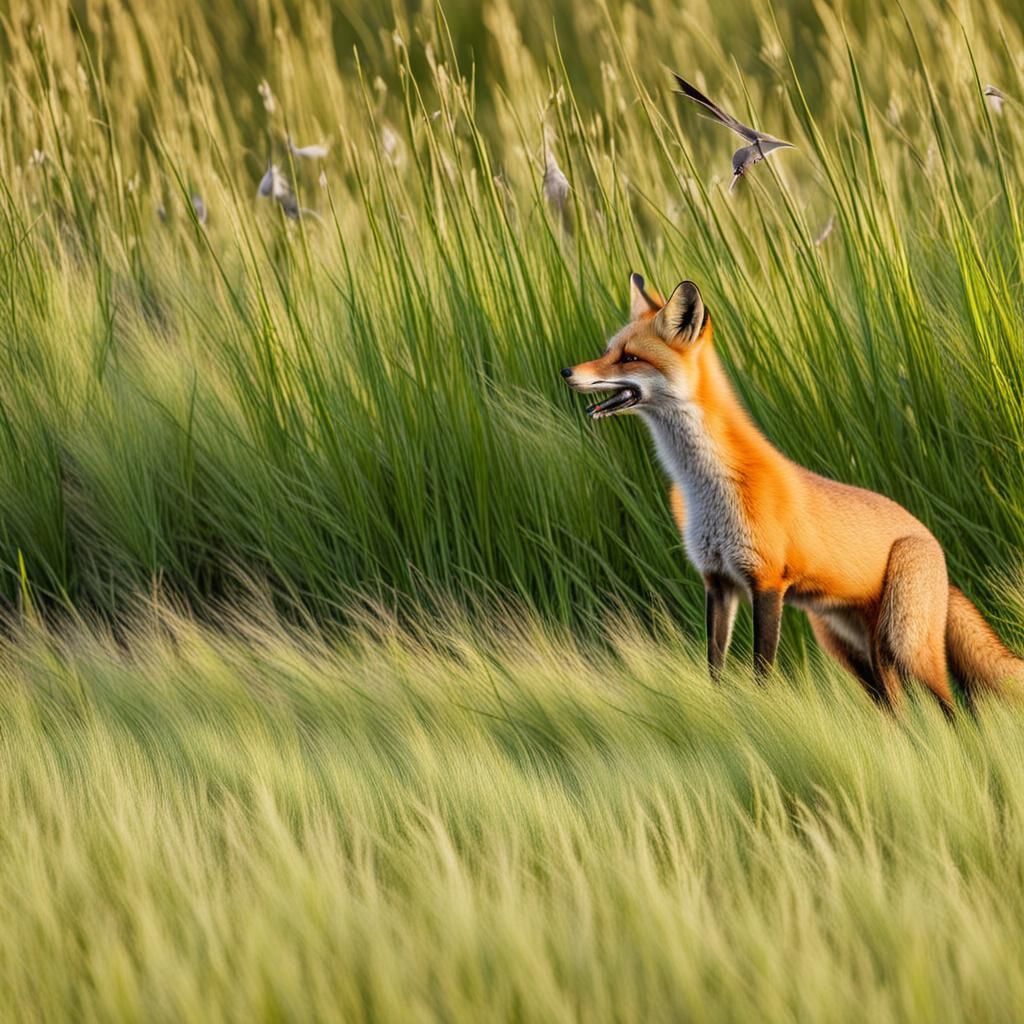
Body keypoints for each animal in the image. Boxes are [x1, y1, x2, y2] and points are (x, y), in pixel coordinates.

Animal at [560, 273, 1024, 713]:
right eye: (608, 350)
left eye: (630, 357)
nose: (567, 373)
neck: (705, 488)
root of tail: (936, 545)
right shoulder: (718, 581)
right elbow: (715, 670)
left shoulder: (766, 583)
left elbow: (761, 673)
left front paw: (761, 715)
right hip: (856, 654)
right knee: (898, 713)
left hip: (906, 647)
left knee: (954, 710)